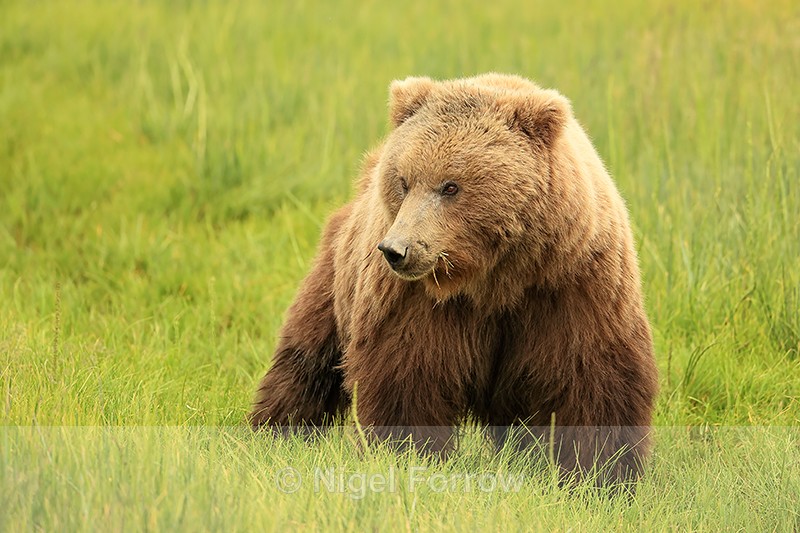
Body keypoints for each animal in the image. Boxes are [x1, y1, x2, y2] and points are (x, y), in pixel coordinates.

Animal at [250, 73, 659, 488]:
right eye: (404, 181)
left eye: (451, 186)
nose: (396, 249)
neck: (496, 277)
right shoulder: (417, 303)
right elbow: (407, 377)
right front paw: (407, 457)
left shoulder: (572, 284)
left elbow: (592, 378)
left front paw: (600, 475)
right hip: (336, 278)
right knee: (307, 361)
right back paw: (276, 431)